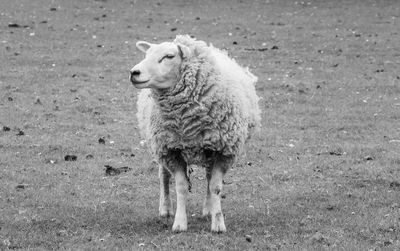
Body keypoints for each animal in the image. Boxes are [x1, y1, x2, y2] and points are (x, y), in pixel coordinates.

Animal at [130, 34, 260, 232]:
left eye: (169, 56)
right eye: (147, 54)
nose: (134, 72)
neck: (187, 122)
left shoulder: (224, 151)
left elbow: (215, 187)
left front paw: (218, 223)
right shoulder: (171, 150)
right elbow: (181, 187)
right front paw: (179, 223)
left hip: (208, 149)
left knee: (208, 178)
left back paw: (208, 209)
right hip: (160, 144)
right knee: (164, 177)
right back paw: (165, 209)